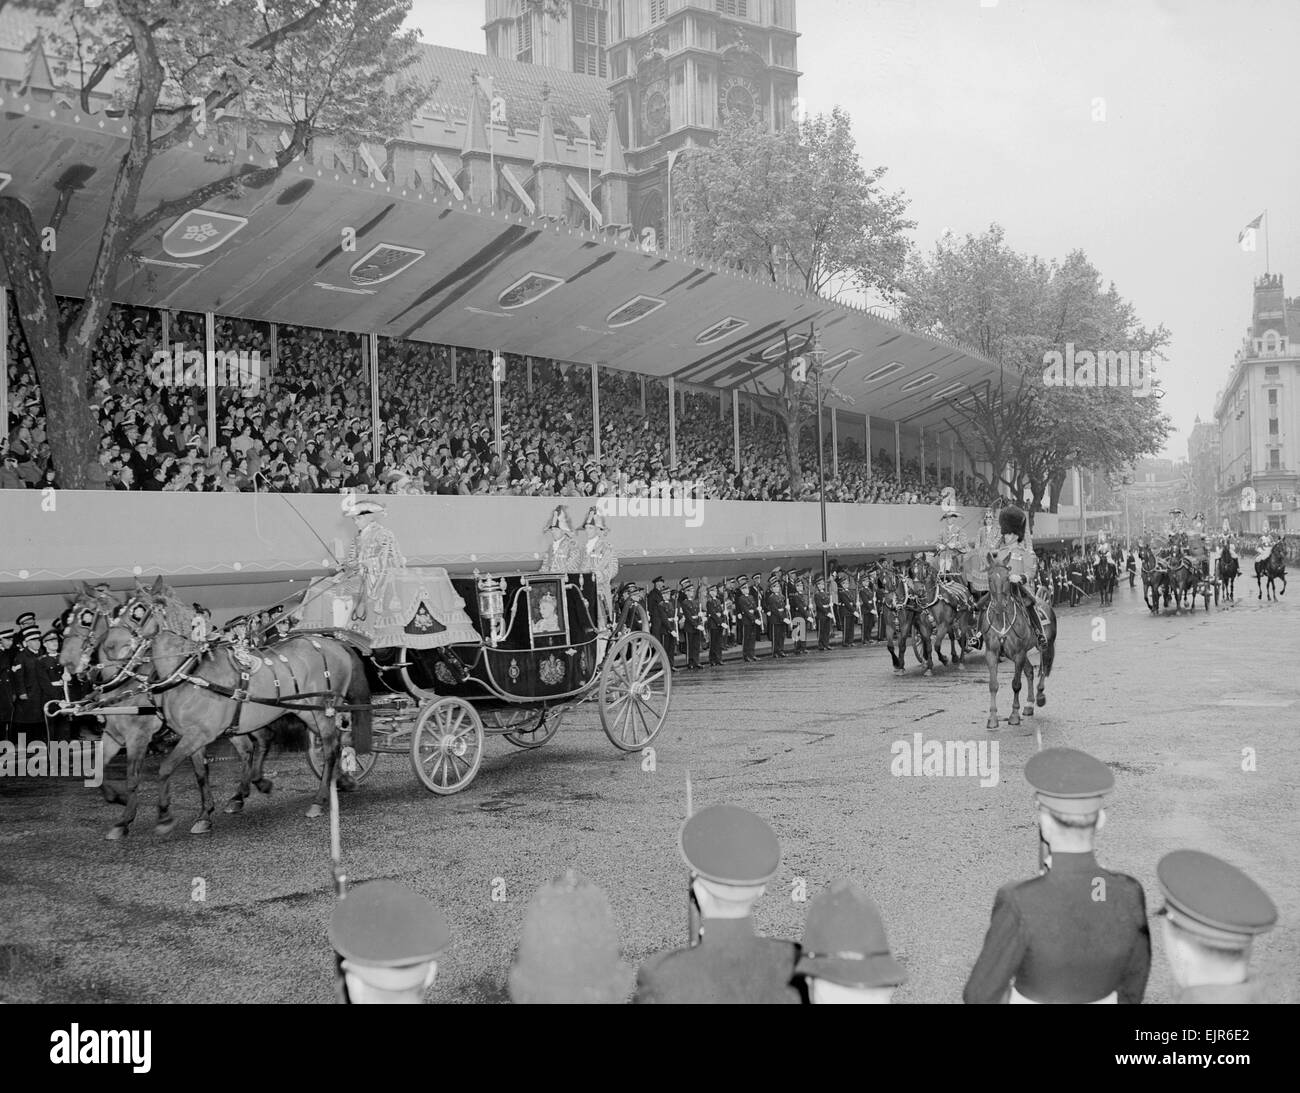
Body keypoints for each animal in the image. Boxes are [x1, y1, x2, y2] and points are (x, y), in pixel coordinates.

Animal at [98, 574, 366, 831]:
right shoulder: (190, 735)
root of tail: (335, 641)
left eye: (139, 611)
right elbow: (200, 773)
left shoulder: (192, 734)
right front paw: (204, 815)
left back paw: (320, 799)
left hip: (323, 708)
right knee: (334, 742)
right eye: (118, 610)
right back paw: (340, 780)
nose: (109, 647)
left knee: (330, 748)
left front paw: (163, 816)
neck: (189, 671)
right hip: (305, 711)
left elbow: (163, 769)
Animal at [982, 558, 1055, 727]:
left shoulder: (1018, 653)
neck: (1002, 619)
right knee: (1030, 671)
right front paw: (993, 718)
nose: (999, 605)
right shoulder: (992, 653)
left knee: (1043, 669)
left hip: (1046, 646)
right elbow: (993, 685)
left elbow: (1016, 684)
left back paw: (1040, 696)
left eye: (1007, 578)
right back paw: (1029, 704)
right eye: (990, 578)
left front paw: (1014, 715)